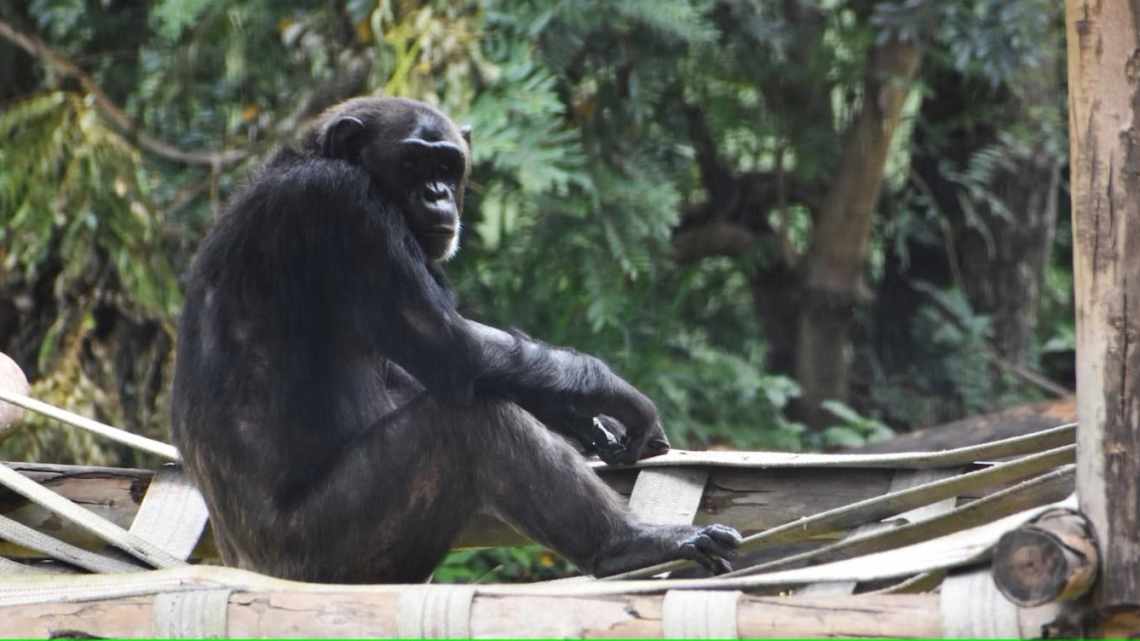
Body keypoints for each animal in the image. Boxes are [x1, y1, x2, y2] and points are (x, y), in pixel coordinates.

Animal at [168, 97, 738, 581]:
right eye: (413, 164)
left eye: (447, 165)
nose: (437, 193)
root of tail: (244, 562)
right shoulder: (342, 207)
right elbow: (454, 349)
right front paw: (617, 398)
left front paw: (581, 418)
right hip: (326, 552)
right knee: (470, 422)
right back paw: (629, 544)